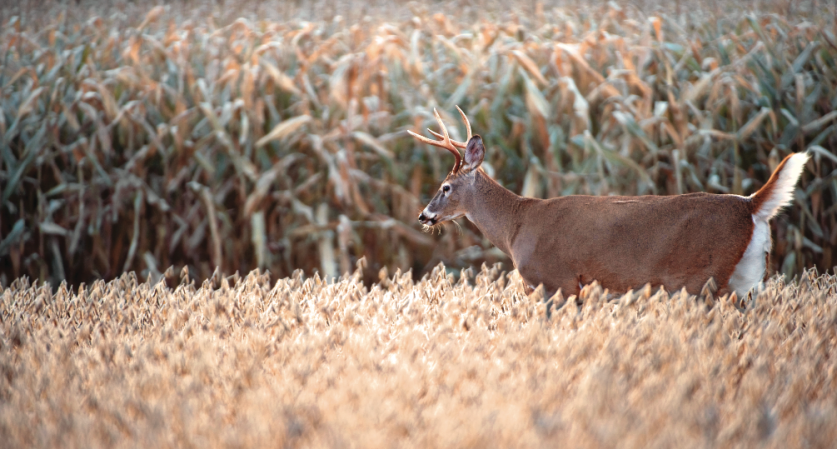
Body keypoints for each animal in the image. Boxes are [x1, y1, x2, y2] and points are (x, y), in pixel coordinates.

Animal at [412, 105, 808, 300]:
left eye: (446, 187)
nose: (423, 215)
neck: (516, 225)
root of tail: (750, 204)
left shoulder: (556, 280)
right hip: (748, 276)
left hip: (700, 277)